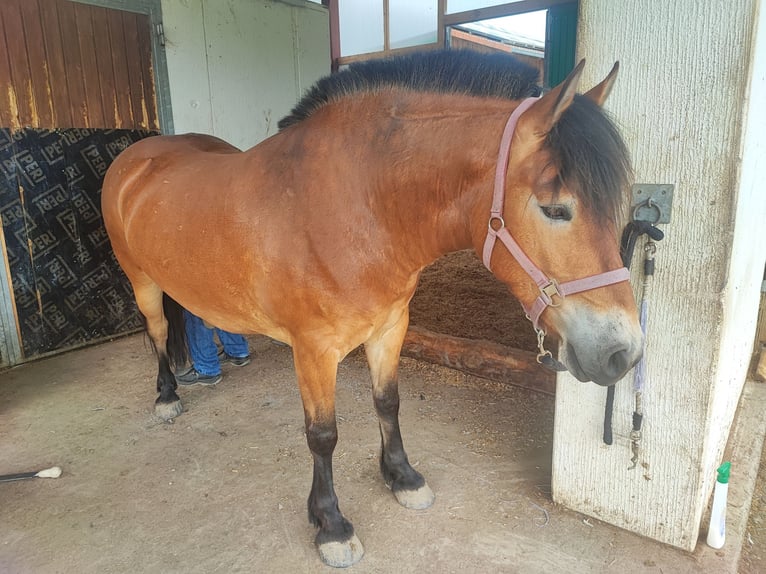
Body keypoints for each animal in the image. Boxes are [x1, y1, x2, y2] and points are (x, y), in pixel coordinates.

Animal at [100, 50, 640, 572]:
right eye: (555, 209)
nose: (625, 354)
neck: (358, 207)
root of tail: (136, 156)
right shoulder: (314, 350)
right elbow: (322, 435)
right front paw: (331, 524)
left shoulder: (390, 327)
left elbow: (388, 402)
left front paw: (401, 477)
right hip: (142, 283)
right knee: (158, 331)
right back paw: (167, 395)